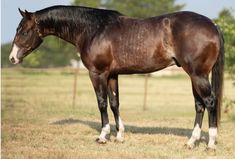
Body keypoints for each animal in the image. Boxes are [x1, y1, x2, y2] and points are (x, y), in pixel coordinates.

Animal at [9, 5, 224, 149]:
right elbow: (114, 103)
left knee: (210, 101)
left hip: (197, 75)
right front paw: (120, 136)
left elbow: (102, 103)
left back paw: (211, 143)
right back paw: (191, 142)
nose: (12, 58)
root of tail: (213, 25)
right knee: (199, 105)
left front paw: (103, 136)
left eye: (24, 31)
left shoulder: (98, 73)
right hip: (195, 76)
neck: (93, 29)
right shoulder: (112, 75)